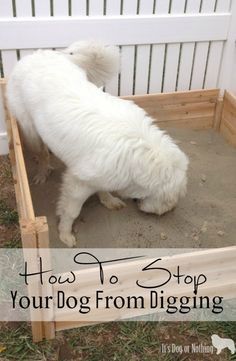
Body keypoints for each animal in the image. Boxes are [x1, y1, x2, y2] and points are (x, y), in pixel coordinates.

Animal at [6, 40, 189, 246]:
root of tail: (36, 54)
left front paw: (108, 200)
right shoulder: (76, 184)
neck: (142, 153)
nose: (169, 211)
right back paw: (42, 172)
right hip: (31, 131)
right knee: (42, 153)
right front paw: (65, 234)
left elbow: (103, 189)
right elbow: (71, 212)